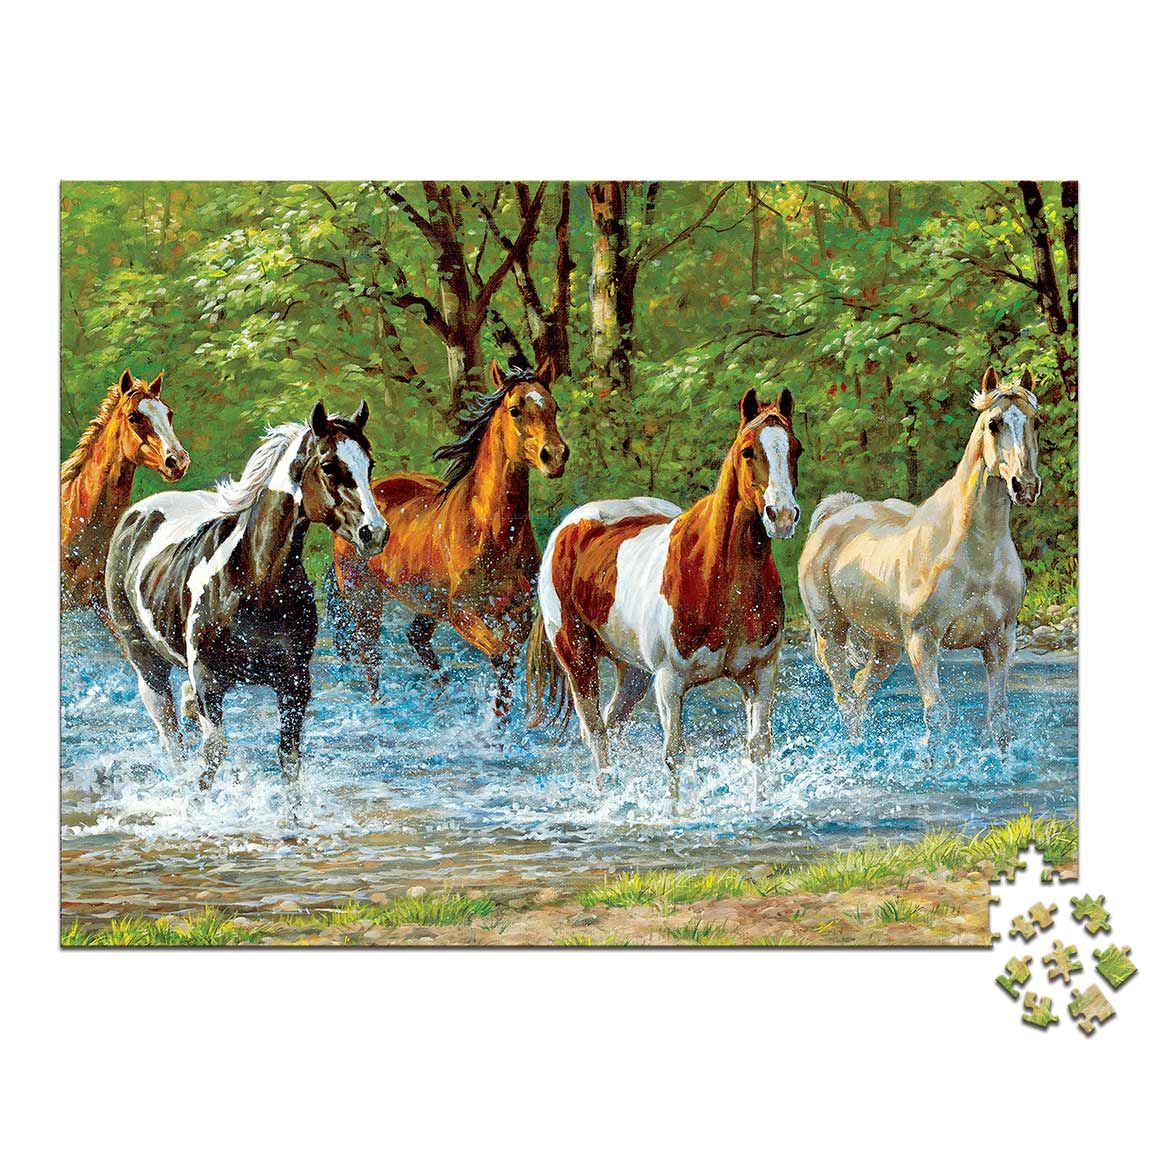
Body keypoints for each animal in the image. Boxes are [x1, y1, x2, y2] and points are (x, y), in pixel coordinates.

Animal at [105, 401, 387, 792]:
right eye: (330, 466)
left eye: (369, 465)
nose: (375, 533)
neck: (256, 584)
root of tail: (138, 513)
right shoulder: (208, 682)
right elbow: (212, 756)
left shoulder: (294, 684)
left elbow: (289, 759)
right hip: (147, 663)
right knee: (173, 740)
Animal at [329, 358, 568, 719]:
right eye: (515, 410)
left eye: (553, 408)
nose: (554, 456)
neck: (493, 533)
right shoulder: (462, 613)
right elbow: (500, 657)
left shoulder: (519, 611)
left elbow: (509, 661)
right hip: (365, 600)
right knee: (369, 656)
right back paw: (379, 706)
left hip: (426, 602)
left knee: (416, 638)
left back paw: (441, 695)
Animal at [527, 388, 802, 795]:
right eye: (748, 451)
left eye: (795, 449)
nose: (781, 516)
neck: (719, 581)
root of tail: (571, 526)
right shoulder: (670, 683)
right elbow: (674, 755)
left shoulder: (761, 675)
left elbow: (759, 749)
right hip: (578, 658)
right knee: (596, 732)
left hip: (633, 672)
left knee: (611, 721)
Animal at [797, 367, 1042, 753]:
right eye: (994, 423)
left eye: (1035, 421)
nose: (1025, 487)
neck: (975, 552)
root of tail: (836, 516)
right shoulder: (923, 641)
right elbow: (937, 715)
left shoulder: (1000, 641)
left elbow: (1000, 719)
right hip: (831, 633)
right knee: (846, 699)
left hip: (886, 646)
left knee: (861, 689)